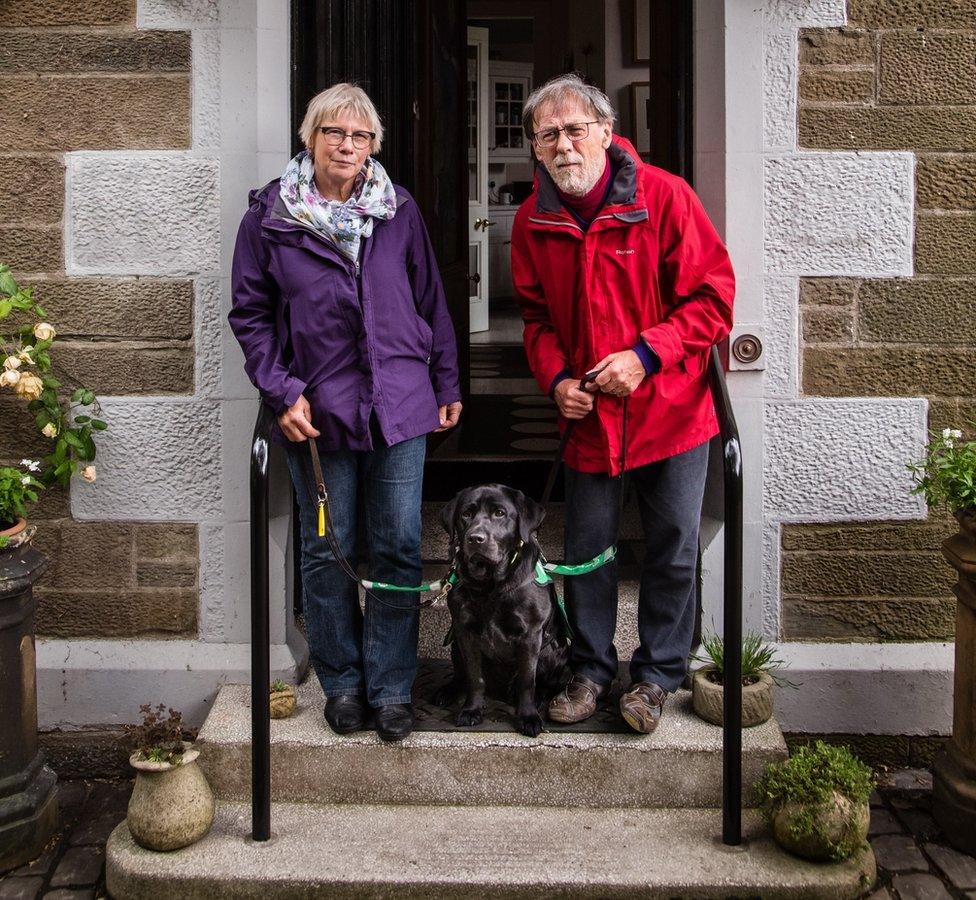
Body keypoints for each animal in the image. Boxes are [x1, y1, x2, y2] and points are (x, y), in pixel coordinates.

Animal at [438, 486, 568, 740]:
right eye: (466, 514)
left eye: (499, 513)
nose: (475, 538)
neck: (490, 585)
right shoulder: (465, 632)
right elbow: (474, 677)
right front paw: (472, 710)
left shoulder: (530, 635)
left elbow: (527, 681)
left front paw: (528, 717)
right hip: (456, 645)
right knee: (461, 675)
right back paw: (447, 691)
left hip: (552, 651)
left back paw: (540, 699)